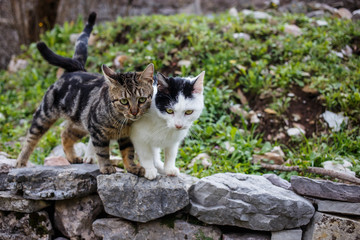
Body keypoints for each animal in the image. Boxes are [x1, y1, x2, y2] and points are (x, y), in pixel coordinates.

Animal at [15, 12, 153, 174]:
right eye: (124, 101)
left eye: (142, 99)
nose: (134, 112)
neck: (121, 121)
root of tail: (77, 67)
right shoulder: (98, 133)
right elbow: (102, 152)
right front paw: (107, 167)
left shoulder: (125, 137)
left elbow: (128, 153)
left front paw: (133, 167)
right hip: (45, 114)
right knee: (31, 138)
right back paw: (21, 161)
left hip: (80, 122)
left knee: (65, 134)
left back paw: (72, 157)